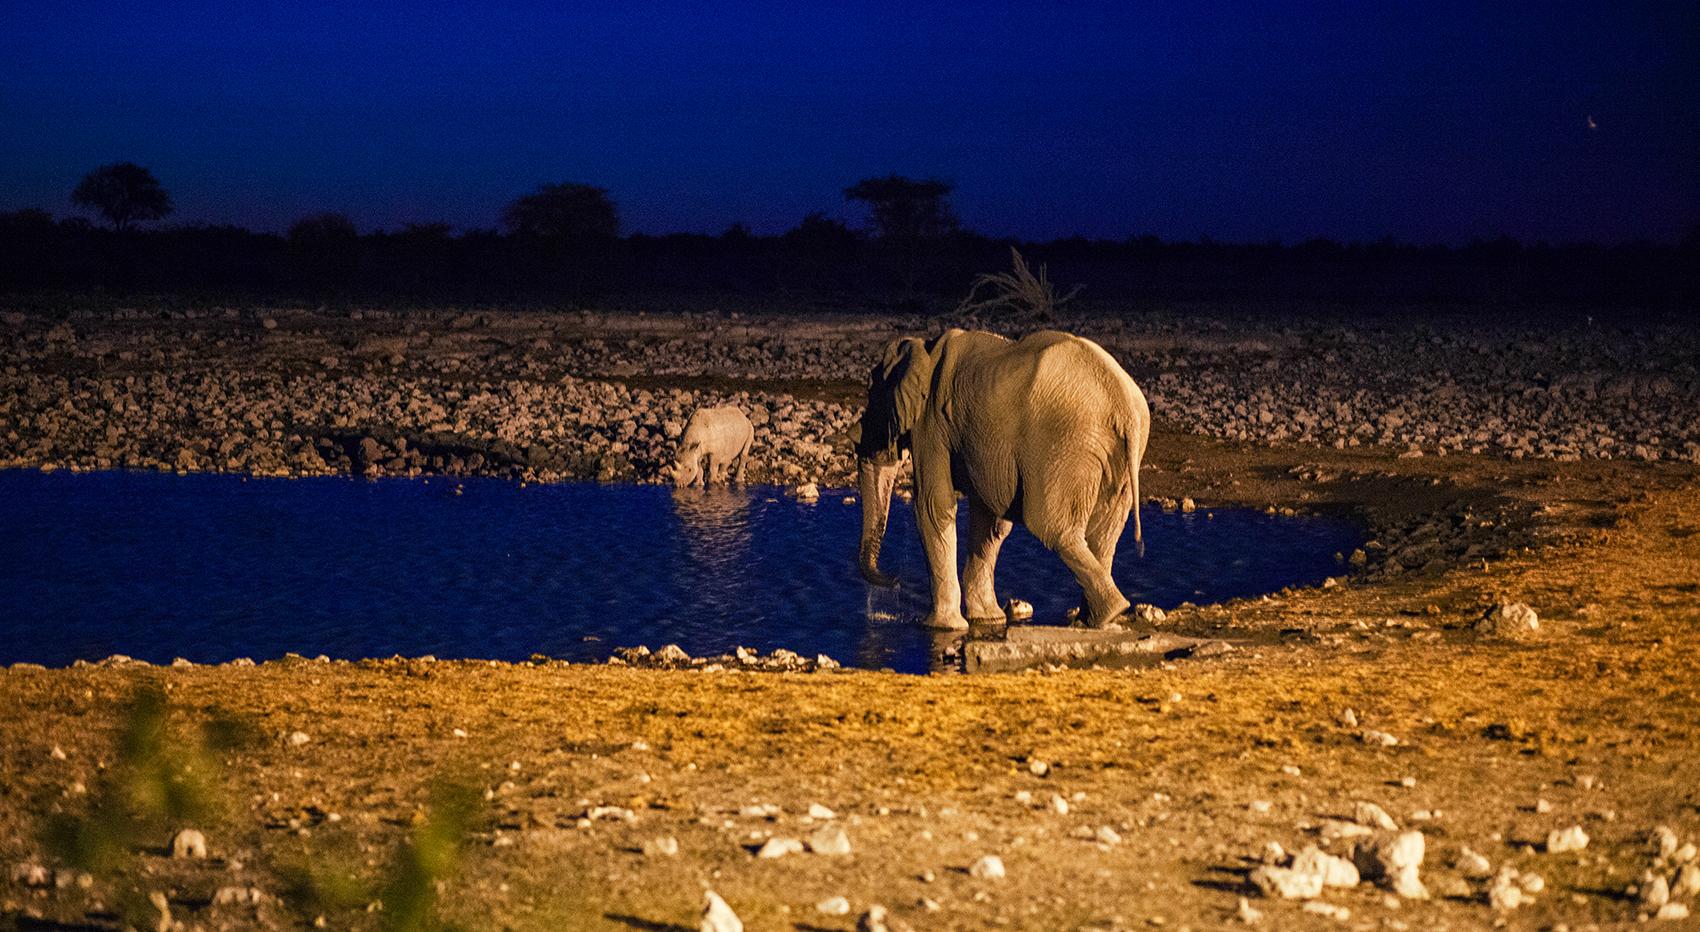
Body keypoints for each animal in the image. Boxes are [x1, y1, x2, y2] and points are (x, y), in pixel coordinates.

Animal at [849, 328, 1150, 630]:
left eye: (871, 393)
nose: (895, 580)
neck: (923, 347)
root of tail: (1123, 403)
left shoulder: (931, 423)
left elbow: (933, 507)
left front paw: (941, 627)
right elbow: (991, 522)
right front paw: (987, 620)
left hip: (1065, 443)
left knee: (1052, 526)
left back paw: (1106, 614)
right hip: (1113, 452)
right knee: (1102, 536)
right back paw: (1098, 618)